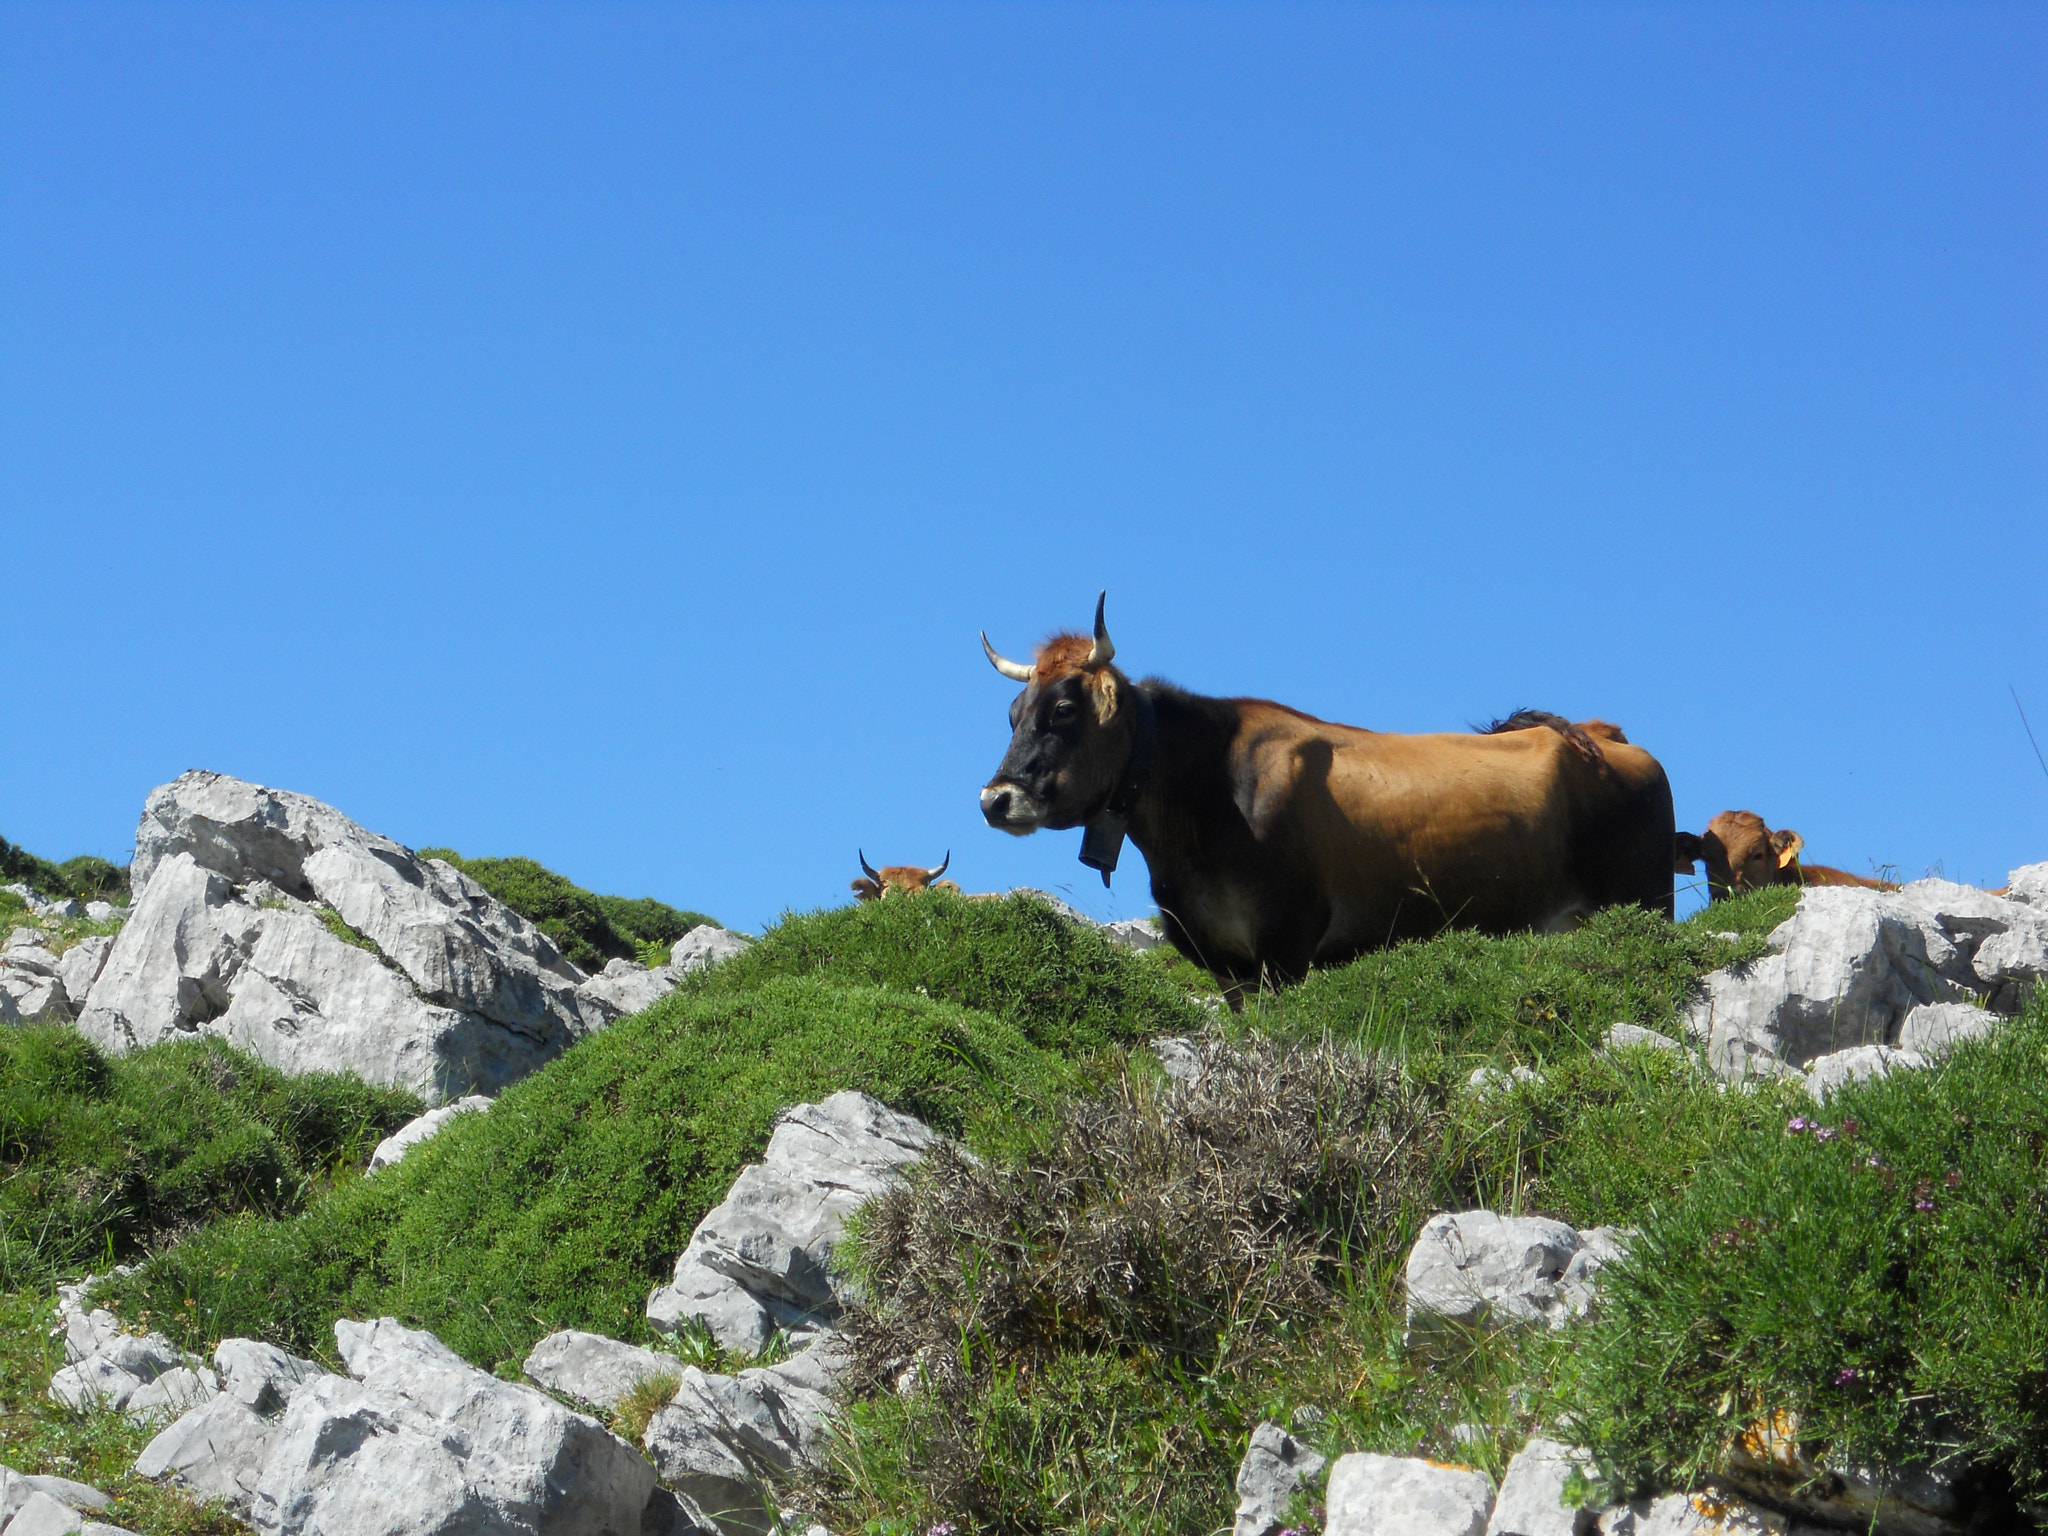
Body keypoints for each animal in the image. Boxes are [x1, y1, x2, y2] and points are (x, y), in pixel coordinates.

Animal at [978, 594, 1676, 998]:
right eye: (1012, 715)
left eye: (1063, 710)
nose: (994, 800)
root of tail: (1601, 735)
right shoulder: (1227, 964)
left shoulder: (1287, 945)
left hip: (1646, 907)